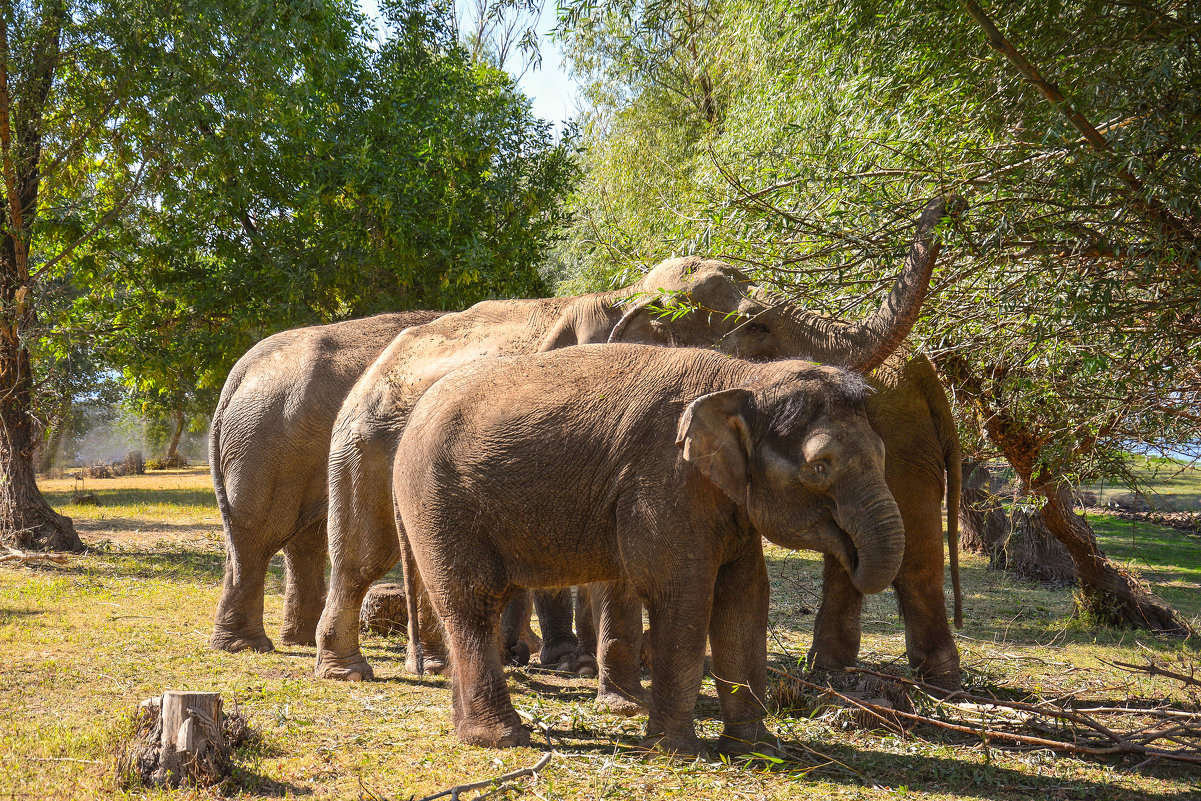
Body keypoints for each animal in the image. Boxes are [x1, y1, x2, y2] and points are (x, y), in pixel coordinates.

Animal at [208, 307, 444, 653]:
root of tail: (240, 372)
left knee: (302, 541)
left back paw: (298, 640)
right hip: (267, 444)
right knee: (259, 537)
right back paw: (246, 646)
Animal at [393, 343, 907, 754]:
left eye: (884, 455)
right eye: (820, 467)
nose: (851, 553)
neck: (744, 378)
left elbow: (744, 598)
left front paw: (756, 750)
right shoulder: (665, 482)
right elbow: (684, 595)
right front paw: (677, 751)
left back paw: (468, 731)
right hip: (440, 504)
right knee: (473, 602)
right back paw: (502, 738)